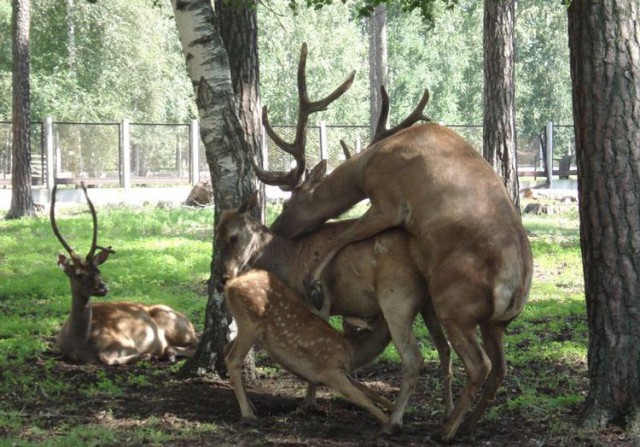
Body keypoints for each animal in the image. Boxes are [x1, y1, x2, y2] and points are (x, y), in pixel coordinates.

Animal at [51, 184, 199, 366]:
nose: (103, 287)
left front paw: (146, 355)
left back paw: (167, 353)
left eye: (98, 271)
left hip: (173, 324)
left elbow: (106, 357)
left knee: (194, 344)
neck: (79, 343)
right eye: (79, 274)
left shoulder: (124, 342)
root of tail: (190, 323)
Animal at [224, 270, 396, 428]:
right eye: (385, 317)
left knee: (227, 348)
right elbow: (359, 397)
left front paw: (395, 409)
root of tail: (231, 285)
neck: (352, 353)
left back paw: (251, 406)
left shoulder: (342, 372)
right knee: (233, 359)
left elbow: (368, 390)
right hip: (250, 323)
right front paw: (390, 424)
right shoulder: (329, 370)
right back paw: (248, 413)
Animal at [252, 43, 532, 442]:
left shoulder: (388, 200)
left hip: (453, 304)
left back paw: (443, 429)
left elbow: (347, 234)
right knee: (500, 369)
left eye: (289, 203)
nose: (278, 228)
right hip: (499, 322)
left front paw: (315, 282)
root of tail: (515, 283)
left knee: (478, 365)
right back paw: (465, 424)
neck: (367, 164)